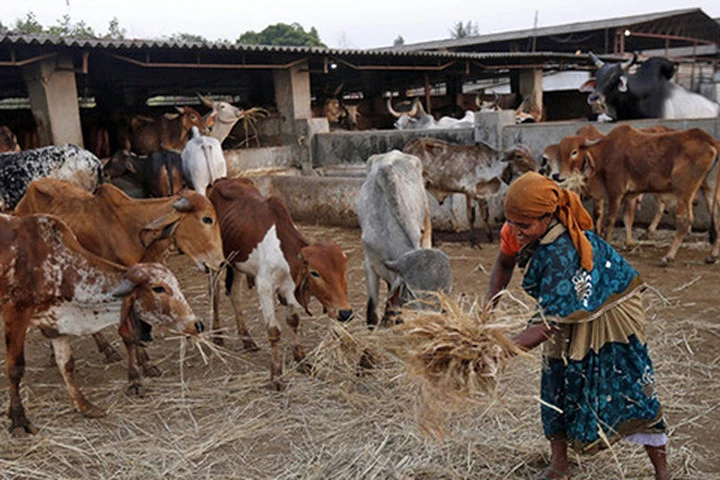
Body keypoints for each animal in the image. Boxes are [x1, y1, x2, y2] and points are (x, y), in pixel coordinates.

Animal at [1, 214, 204, 436]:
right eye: (158, 288)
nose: (197, 324)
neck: (53, 264)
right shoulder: (16, 314)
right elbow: (15, 368)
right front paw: (18, 419)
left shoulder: (54, 318)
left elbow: (67, 363)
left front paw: (85, 406)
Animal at [207, 176, 352, 390]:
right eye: (315, 273)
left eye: (344, 270)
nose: (345, 313)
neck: (283, 252)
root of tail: (220, 180)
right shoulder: (265, 287)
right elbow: (274, 331)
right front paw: (276, 377)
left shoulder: (289, 288)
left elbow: (294, 322)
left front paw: (302, 361)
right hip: (215, 261)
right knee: (215, 292)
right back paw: (217, 335)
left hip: (238, 263)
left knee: (234, 294)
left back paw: (247, 339)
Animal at [544, 124, 720, 264]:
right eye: (560, 153)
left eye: (574, 152)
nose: (559, 176)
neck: (606, 151)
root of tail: (709, 140)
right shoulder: (631, 194)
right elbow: (628, 218)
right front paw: (628, 244)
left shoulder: (615, 192)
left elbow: (611, 219)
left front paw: (607, 242)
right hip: (709, 187)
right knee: (716, 218)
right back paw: (712, 255)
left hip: (684, 191)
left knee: (684, 221)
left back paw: (668, 256)